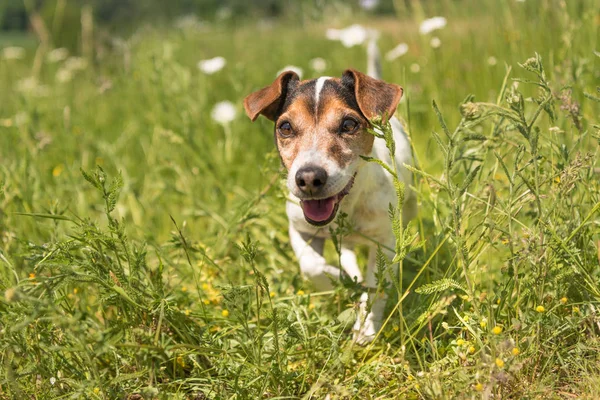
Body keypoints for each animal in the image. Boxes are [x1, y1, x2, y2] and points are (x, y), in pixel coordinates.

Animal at [241, 44, 414, 344]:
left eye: (348, 124)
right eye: (285, 127)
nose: (309, 178)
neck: (345, 208)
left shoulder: (385, 241)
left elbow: (377, 286)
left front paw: (366, 328)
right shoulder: (299, 229)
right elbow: (311, 266)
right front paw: (340, 278)